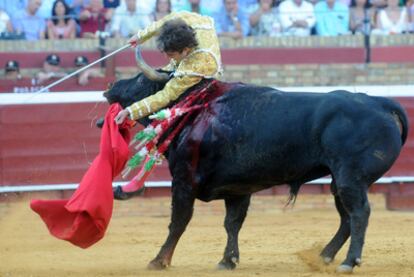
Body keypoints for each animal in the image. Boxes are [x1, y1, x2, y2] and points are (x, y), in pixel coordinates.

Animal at [101, 73, 408, 272]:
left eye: (141, 80)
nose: (110, 86)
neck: (193, 112)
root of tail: (379, 102)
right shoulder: (238, 189)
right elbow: (232, 223)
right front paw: (228, 261)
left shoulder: (183, 181)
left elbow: (179, 222)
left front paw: (159, 261)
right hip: (338, 182)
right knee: (346, 218)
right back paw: (324, 257)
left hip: (350, 179)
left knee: (359, 214)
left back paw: (349, 262)